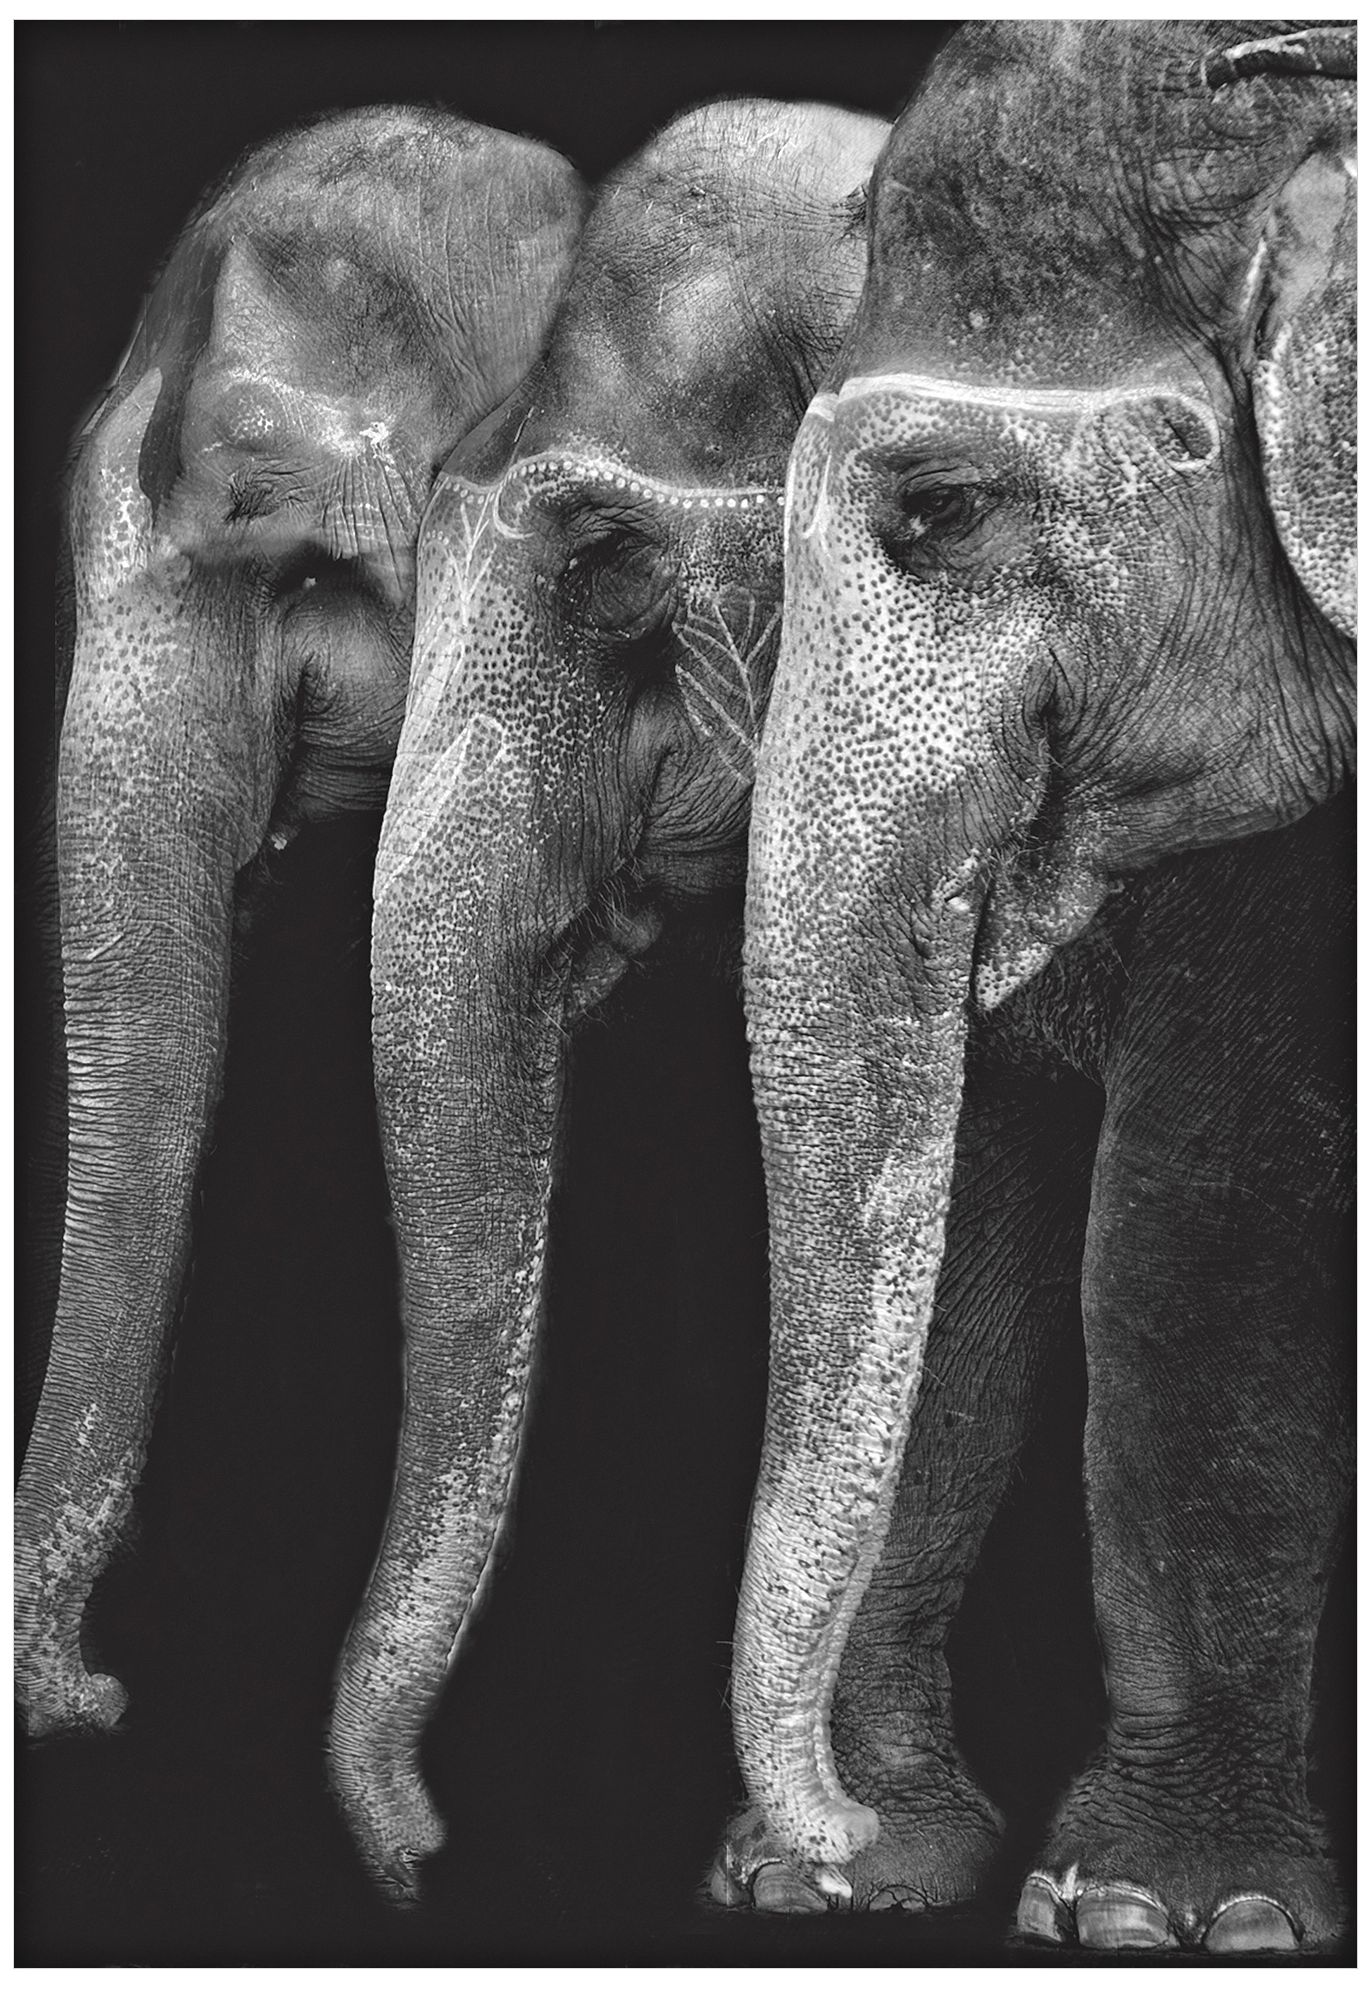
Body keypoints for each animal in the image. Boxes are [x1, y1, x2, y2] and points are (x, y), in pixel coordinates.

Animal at [722, 21, 1354, 1954]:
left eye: (936, 511)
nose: (824, 1831)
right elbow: (978, 1193)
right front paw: (855, 1880)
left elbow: (1205, 1217)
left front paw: (1169, 1912)